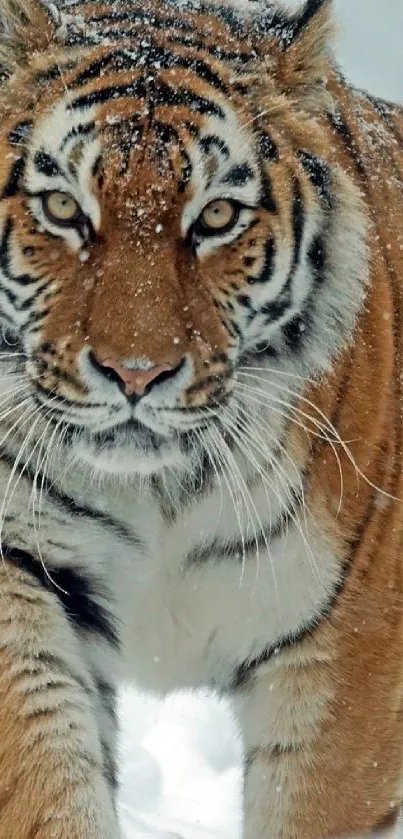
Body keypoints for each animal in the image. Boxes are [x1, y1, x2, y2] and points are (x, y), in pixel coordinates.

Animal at [0, 0, 403, 836]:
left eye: (216, 216)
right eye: (62, 208)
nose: (135, 373)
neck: (159, 491)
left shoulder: (350, 650)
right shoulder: (19, 568)